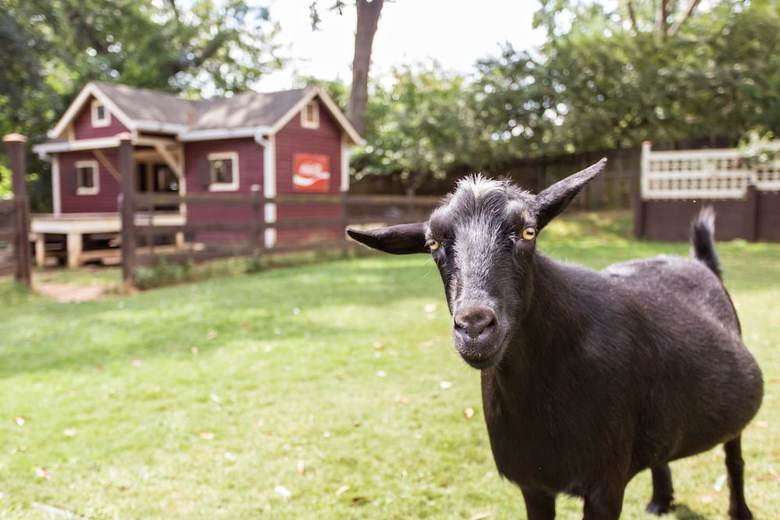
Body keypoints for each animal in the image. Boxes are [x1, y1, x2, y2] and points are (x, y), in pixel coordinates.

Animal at [347, 159, 763, 519]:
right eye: (433, 243)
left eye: (528, 232)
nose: (475, 326)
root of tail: (700, 263)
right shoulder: (534, 483)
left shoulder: (605, 483)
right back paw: (661, 502)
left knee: (735, 458)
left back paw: (740, 511)